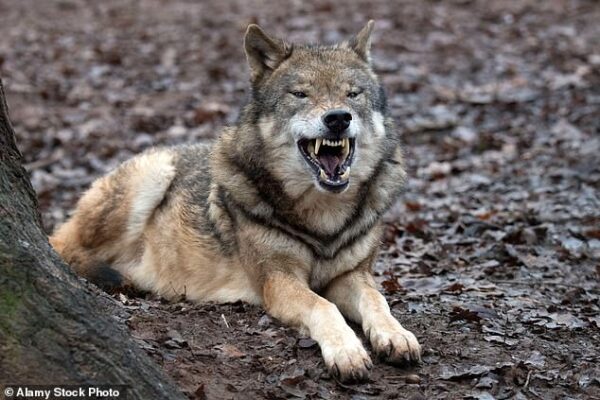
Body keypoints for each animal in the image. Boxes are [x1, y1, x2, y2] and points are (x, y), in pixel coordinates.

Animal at [50, 21, 421, 382]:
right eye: (300, 94)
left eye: (352, 94)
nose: (338, 118)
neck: (324, 219)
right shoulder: (278, 280)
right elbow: (324, 307)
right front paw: (348, 353)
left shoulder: (352, 275)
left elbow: (377, 300)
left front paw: (396, 335)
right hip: (152, 175)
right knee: (63, 245)